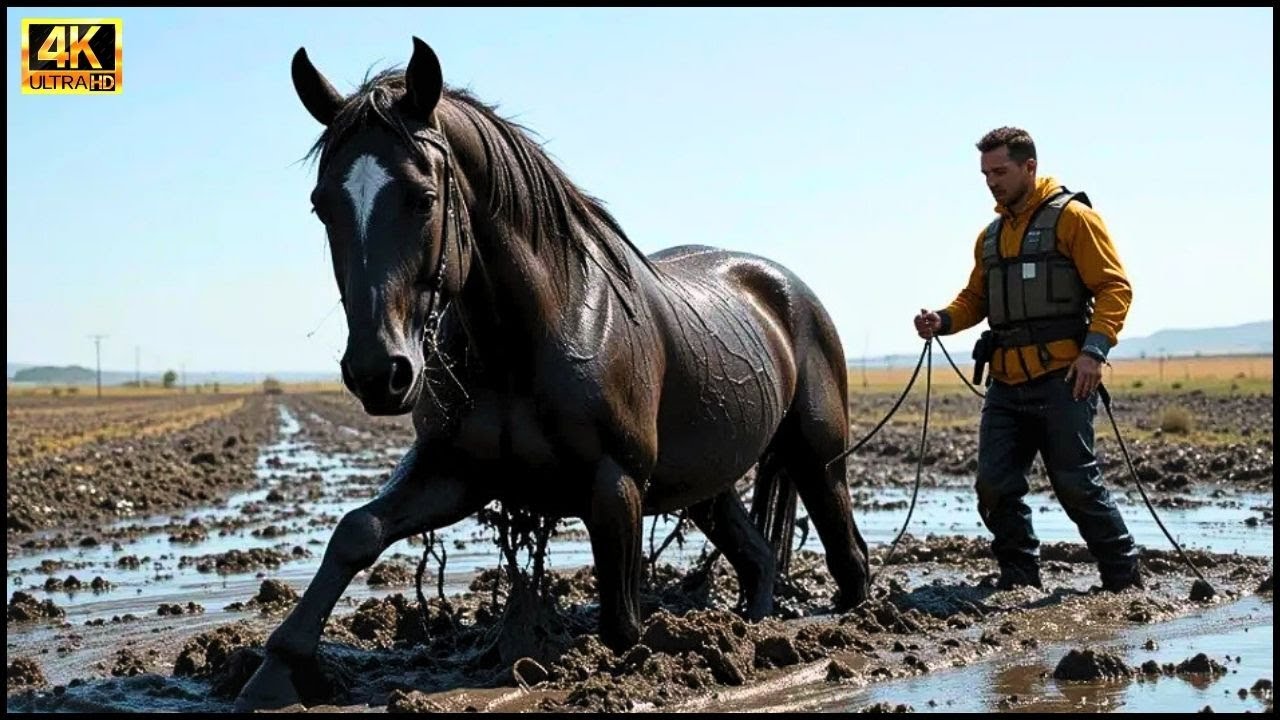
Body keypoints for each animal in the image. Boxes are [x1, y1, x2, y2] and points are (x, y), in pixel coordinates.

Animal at [235, 37, 870, 710]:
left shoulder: (614, 484)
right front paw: (274, 671)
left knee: (848, 555)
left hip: (816, 457)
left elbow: (621, 626)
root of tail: (787, 289)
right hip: (706, 484)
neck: (526, 337)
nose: (378, 372)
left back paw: (853, 631)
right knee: (758, 559)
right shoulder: (453, 470)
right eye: (322, 204)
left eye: (423, 197)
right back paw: (752, 635)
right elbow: (357, 531)